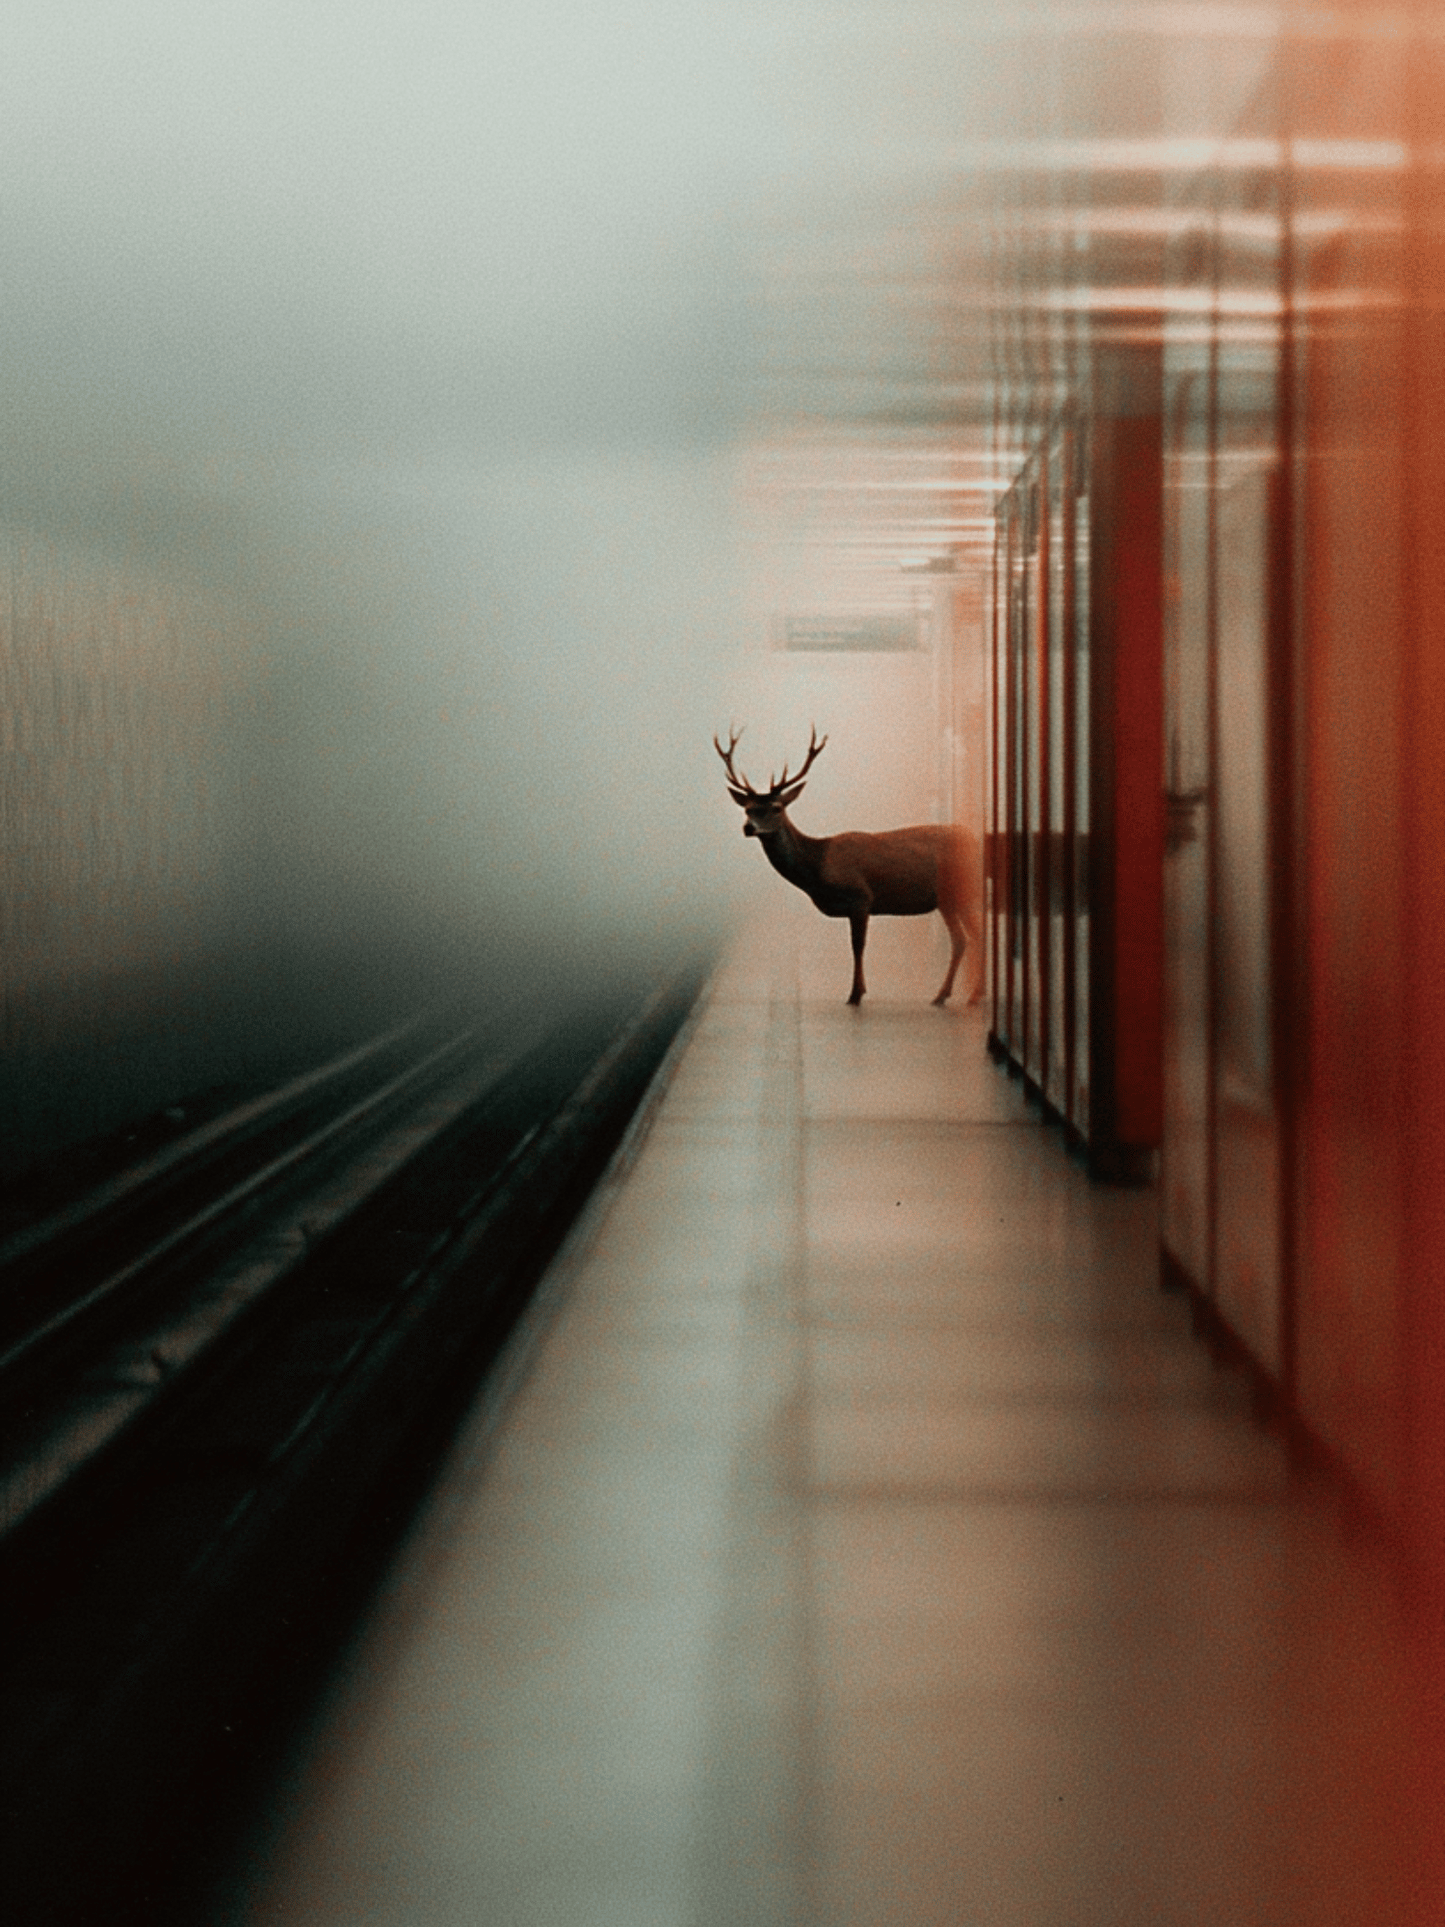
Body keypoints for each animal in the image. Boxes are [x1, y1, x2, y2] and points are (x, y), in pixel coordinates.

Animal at [715, 725, 983, 1008]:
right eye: (747, 809)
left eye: (776, 807)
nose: (748, 827)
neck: (818, 865)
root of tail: (975, 843)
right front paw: (858, 991)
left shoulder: (861, 896)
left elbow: (857, 945)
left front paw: (855, 994)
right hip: (947, 899)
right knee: (962, 939)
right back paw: (943, 995)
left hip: (961, 891)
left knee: (974, 936)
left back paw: (971, 995)